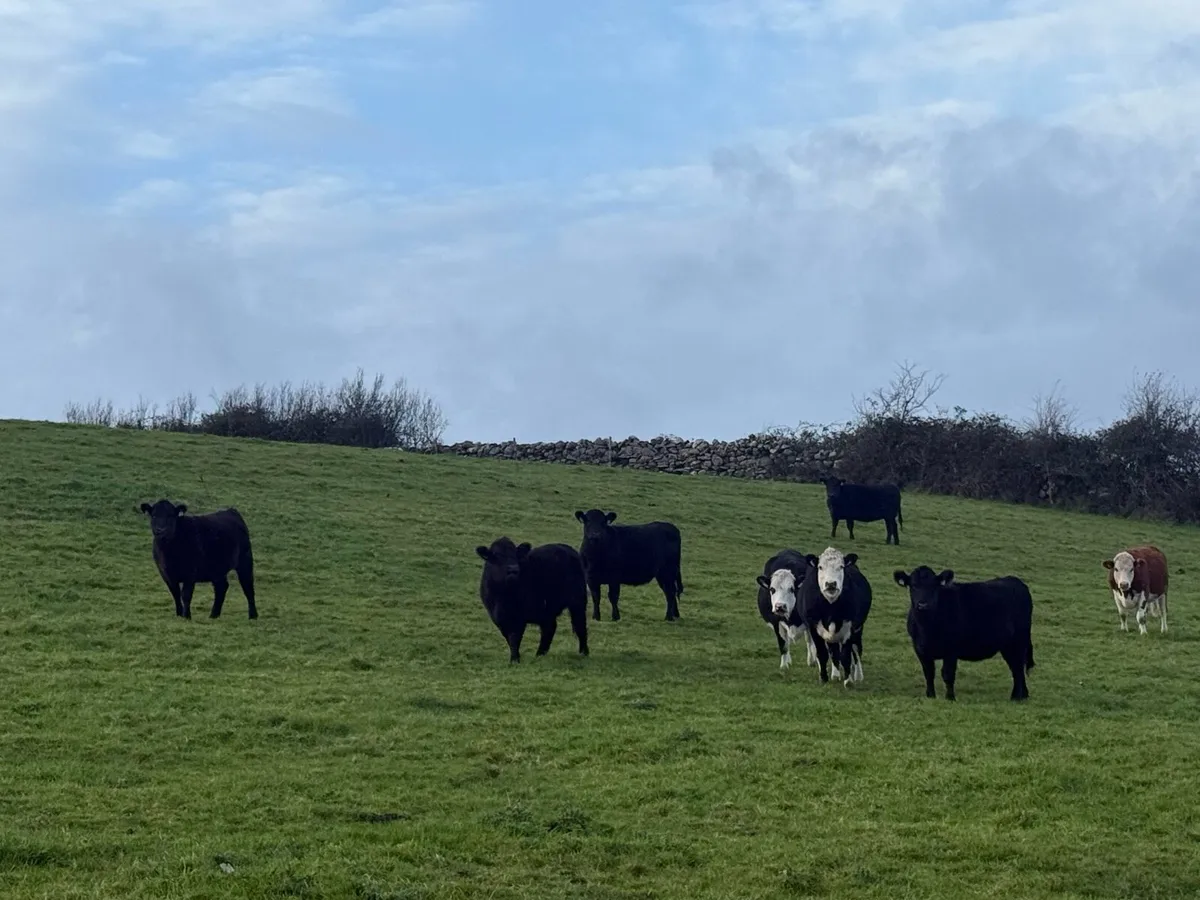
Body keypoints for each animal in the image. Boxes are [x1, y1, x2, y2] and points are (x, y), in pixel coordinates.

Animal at [797, 547, 872, 687]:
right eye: (820, 567)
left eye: (841, 566)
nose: (831, 584)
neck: (830, 608)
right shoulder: (813, 627)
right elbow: (822, 653)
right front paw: (823, 678)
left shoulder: (849, 628)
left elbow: (846, 656)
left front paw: (848, 681)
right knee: (834, 650)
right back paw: (835, 675)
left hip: (858, 629)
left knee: (856, 649)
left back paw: (858, 675)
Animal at [893, 566, 1035, 702]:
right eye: (913, 585)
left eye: (934, 586)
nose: (923, 604)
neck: (926, 628)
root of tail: (1014, 580)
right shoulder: (920, 649)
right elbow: (929, 673)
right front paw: (930, 696)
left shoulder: (951, 650)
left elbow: (948, 674)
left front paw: (950, 698)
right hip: (1007, 646)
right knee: (1015, 668)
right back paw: (1020, 696)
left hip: (1019, 640)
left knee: (1018, 668)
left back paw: (1018, 697)